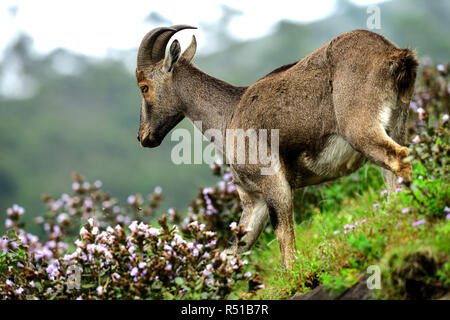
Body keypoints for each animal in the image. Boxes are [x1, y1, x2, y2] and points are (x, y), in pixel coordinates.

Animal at [134, 25, 418, 268]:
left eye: (144, 87)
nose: (143, 137)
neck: (230, 115)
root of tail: (392, 55)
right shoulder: (253, 199)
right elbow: (234, 248)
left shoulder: (273, 181)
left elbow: (284, 236)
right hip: (396, 125)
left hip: (361, 129)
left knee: (399, 159)